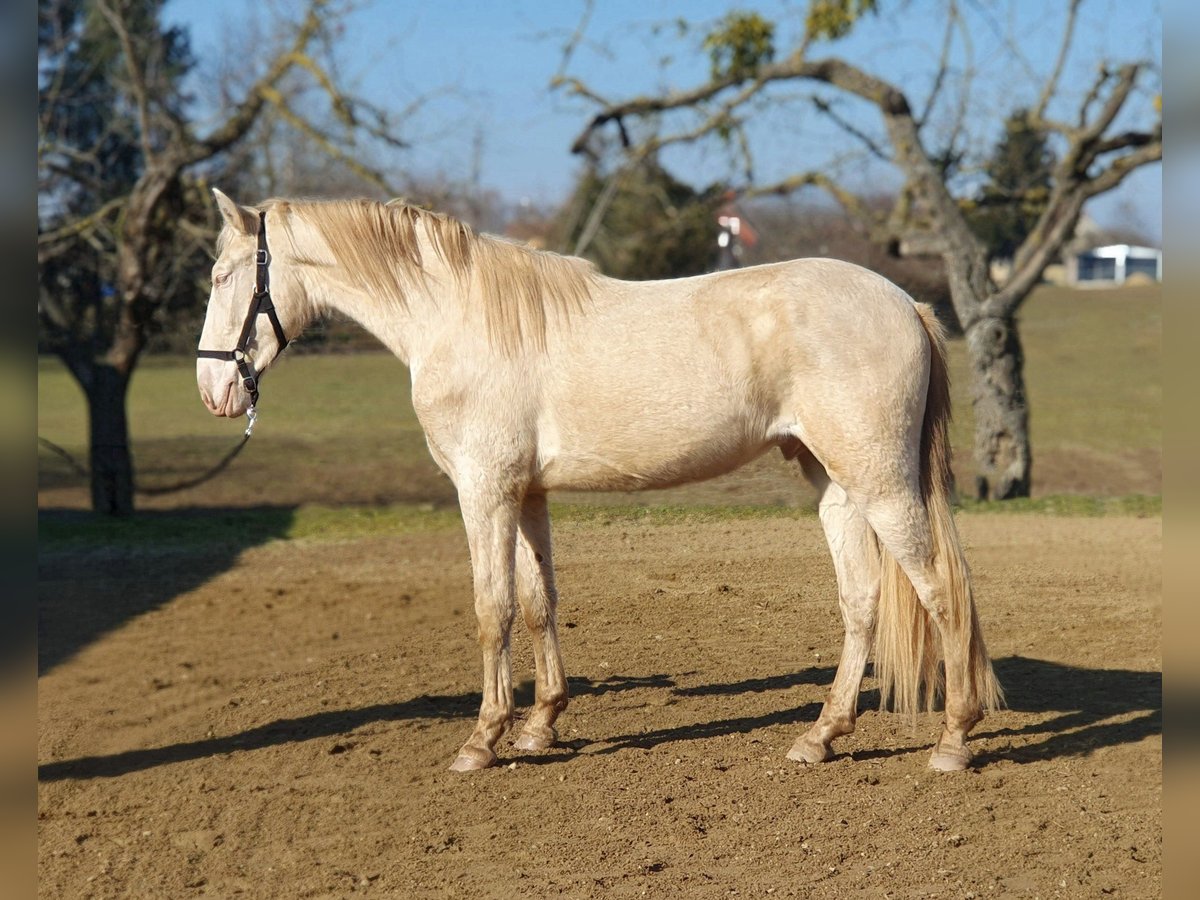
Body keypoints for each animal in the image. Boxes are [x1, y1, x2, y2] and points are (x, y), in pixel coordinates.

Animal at [199, 190, 1003, 777]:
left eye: (221, 276)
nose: (215, 391)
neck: (456, 318)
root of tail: (905, 303)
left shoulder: (484, 492)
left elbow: (491, 609)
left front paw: (482, 741)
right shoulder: (525, 494)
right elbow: (537, 603)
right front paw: (540, 726)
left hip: (881, 483)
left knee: (941, 588)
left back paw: (952, 743)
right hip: (834, 482)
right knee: (862, 600)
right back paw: (821, 737)